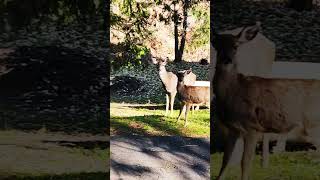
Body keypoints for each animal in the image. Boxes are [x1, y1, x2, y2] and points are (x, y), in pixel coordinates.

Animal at [212, 22, 320, 180]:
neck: (235, 91)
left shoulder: (253, 126)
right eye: (217, 45)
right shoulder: (233, 128)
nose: (227, 60)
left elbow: (245, 162)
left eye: (236, 46)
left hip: (314, 124)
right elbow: (225, 161)